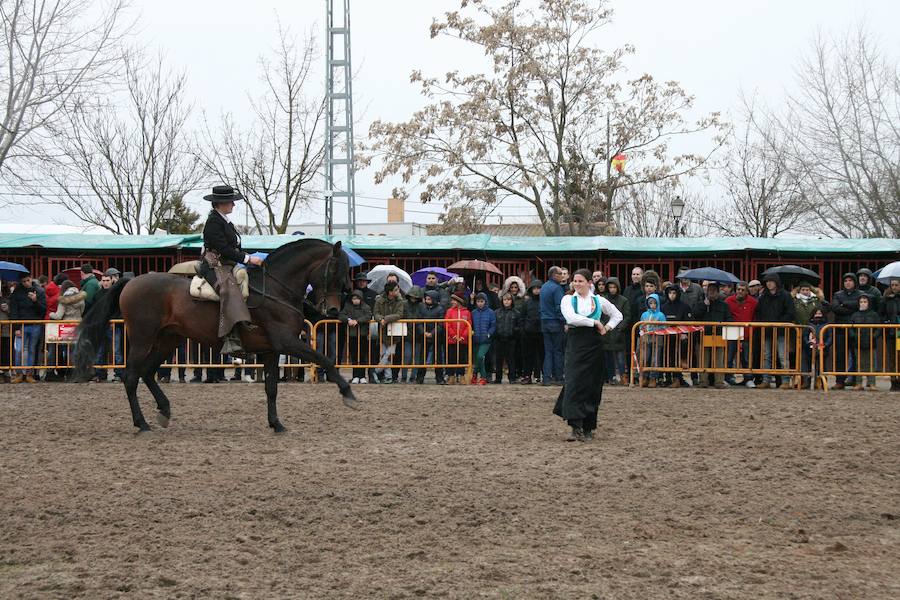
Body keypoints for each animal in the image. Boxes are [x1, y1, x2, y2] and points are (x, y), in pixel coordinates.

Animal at [74, 238, 356, 432]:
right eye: (334, 270)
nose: (332, 310)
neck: (275, 290)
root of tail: (131, 282)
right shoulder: (287, 342)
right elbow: (324, 359)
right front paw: (348, 394)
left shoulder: (271, 350)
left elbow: (272, 388)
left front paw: (276, 423)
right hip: (143, 340)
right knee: (131, 377)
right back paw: (141, 423)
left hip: (168, 340)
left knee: (147, 372)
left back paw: (164, 410)